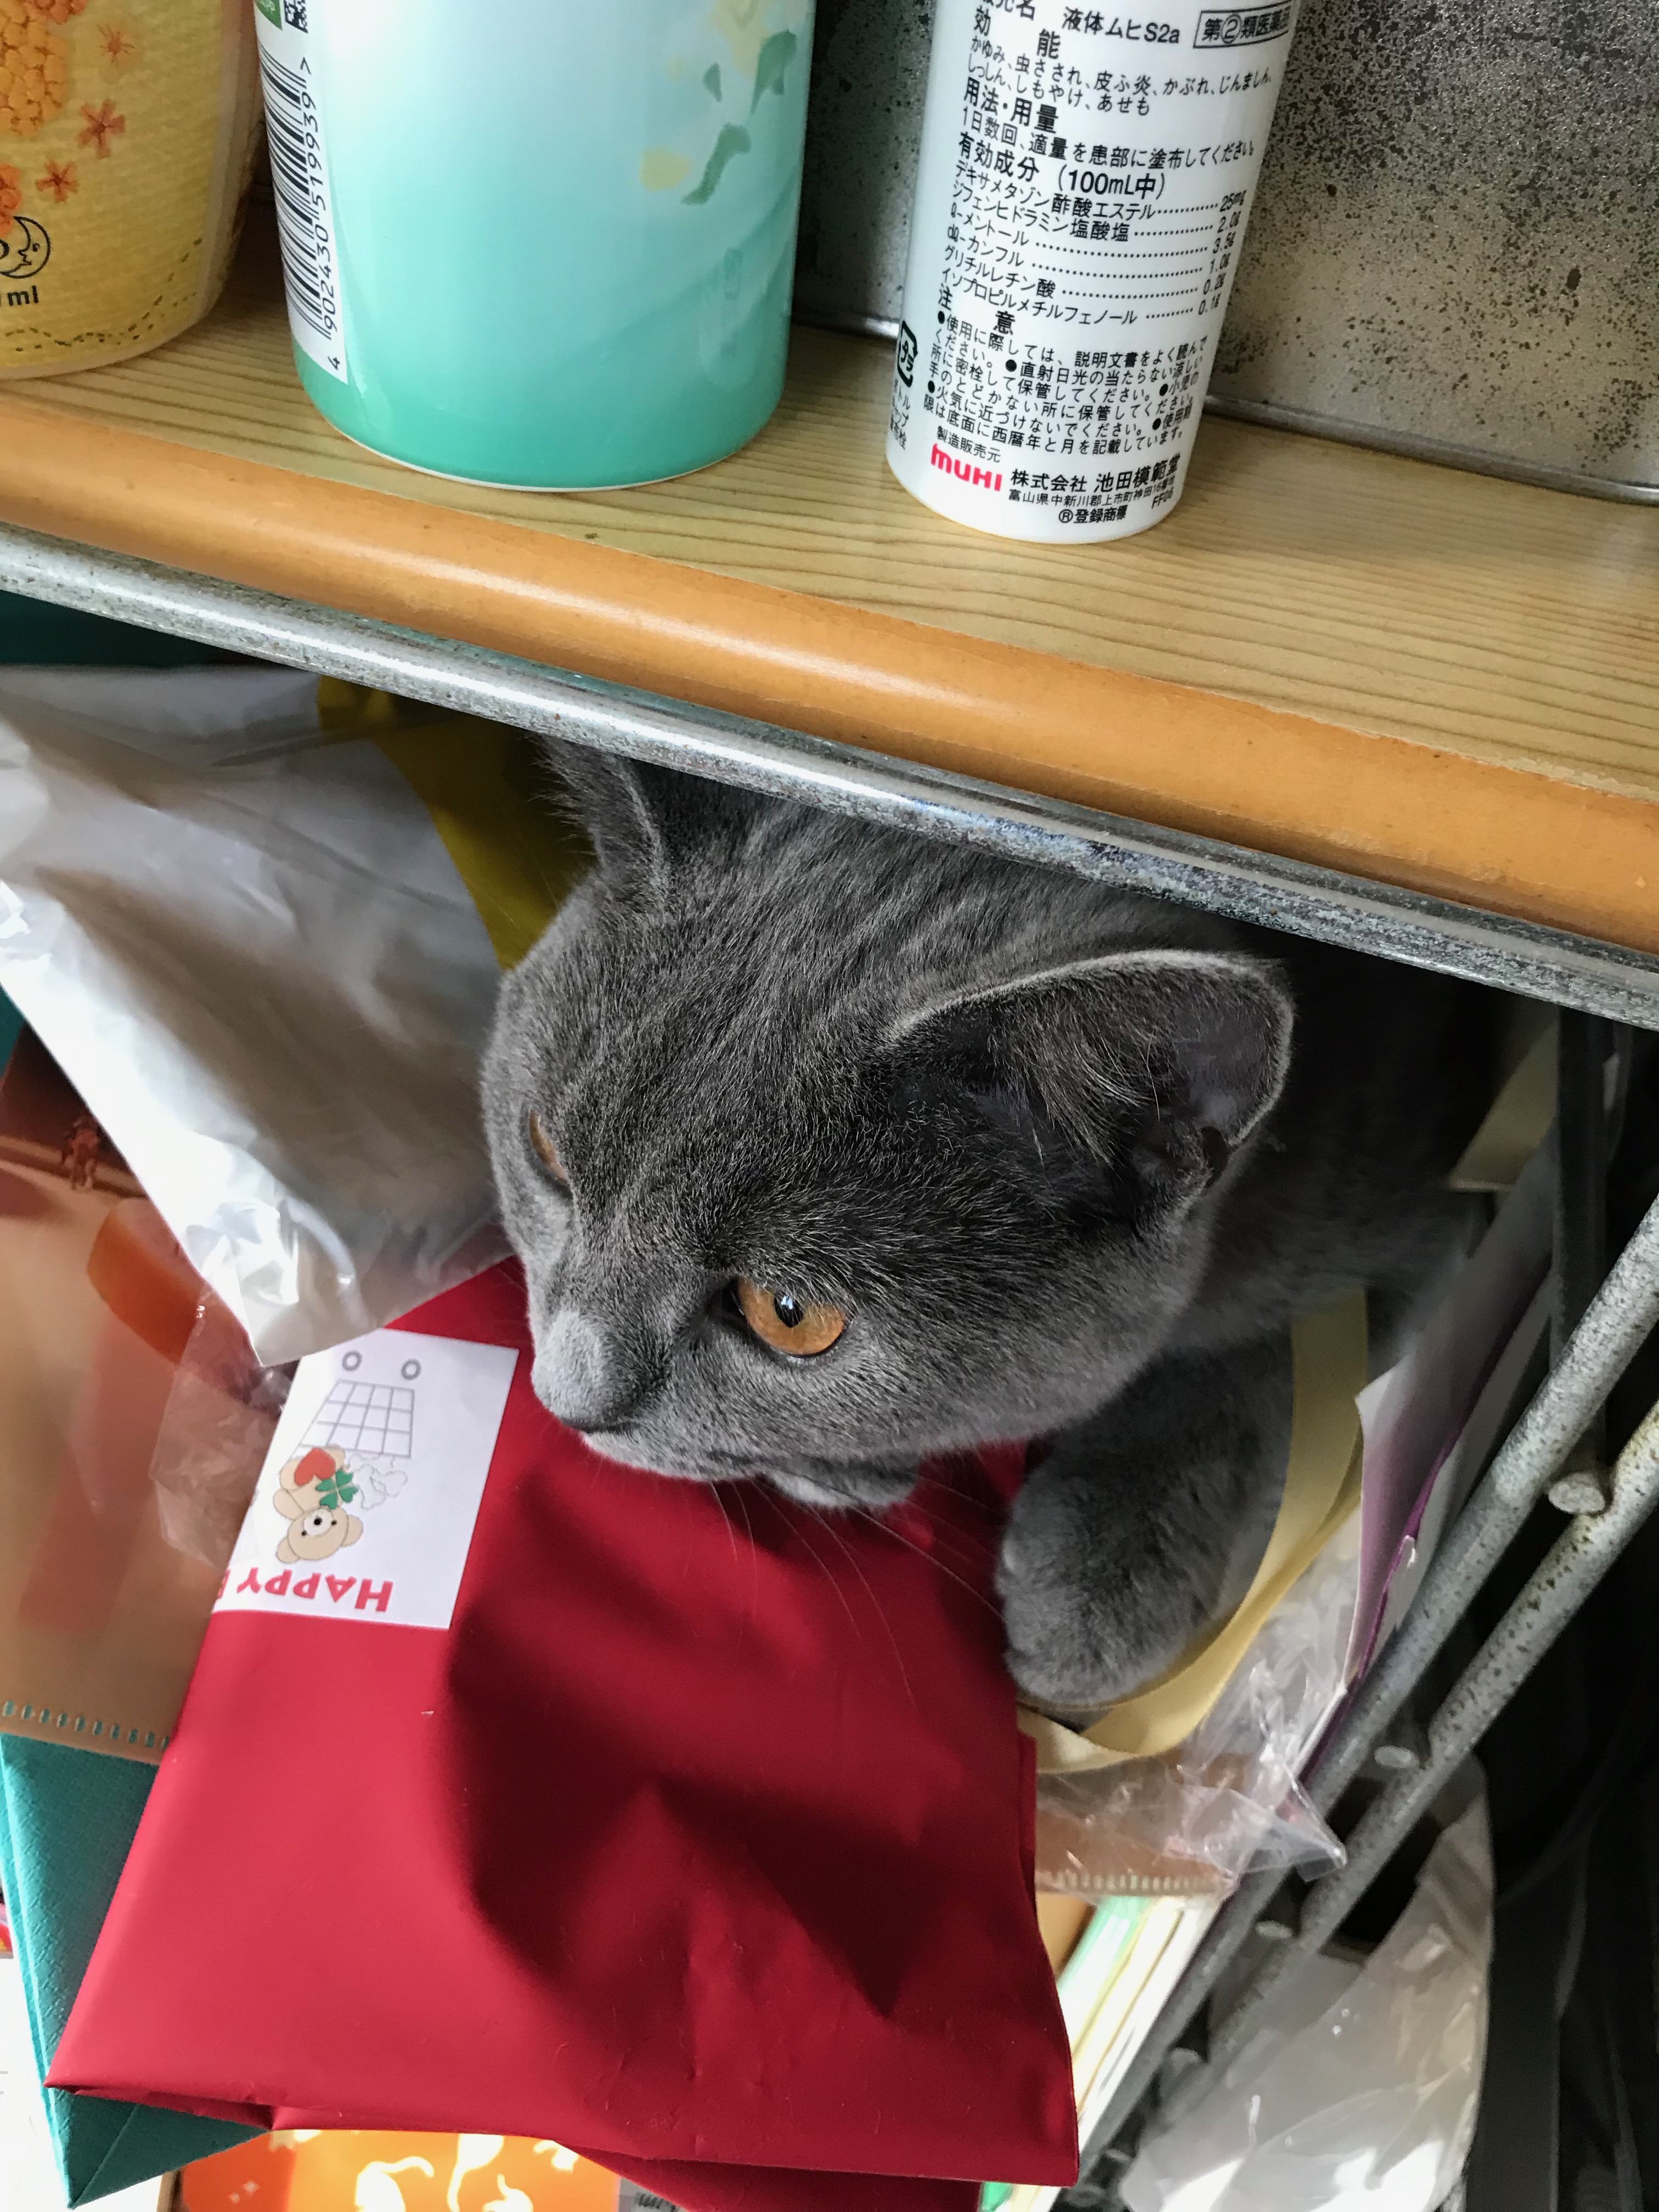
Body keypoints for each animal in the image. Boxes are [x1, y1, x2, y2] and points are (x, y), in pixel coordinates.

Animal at [482, 748, 1500, 1712]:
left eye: (788, 1314)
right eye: (546, 1153)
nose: (565, 1399)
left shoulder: (1424, 1215)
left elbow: (1275, 1365)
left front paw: (1098, 1584)